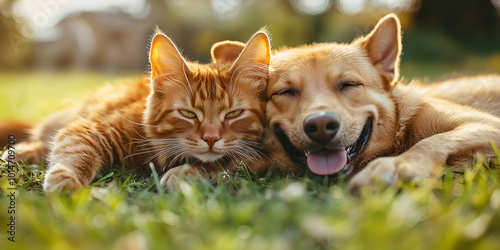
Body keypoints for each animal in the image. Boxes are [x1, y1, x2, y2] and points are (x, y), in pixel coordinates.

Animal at [1, 27, 272, 191]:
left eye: (234, 114)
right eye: (187, 114)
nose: (211, 139)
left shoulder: (262, 158)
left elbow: (230, 164)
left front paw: (188, 174)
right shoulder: (92, 128)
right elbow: (76, 151)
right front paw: (67, 179)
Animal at [264, 14, 500, 189]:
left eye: (349, 84)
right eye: (285, 91)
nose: (321, 125)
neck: (402, 130)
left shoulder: (488, 125)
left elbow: (431, 141)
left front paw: (396, 166)